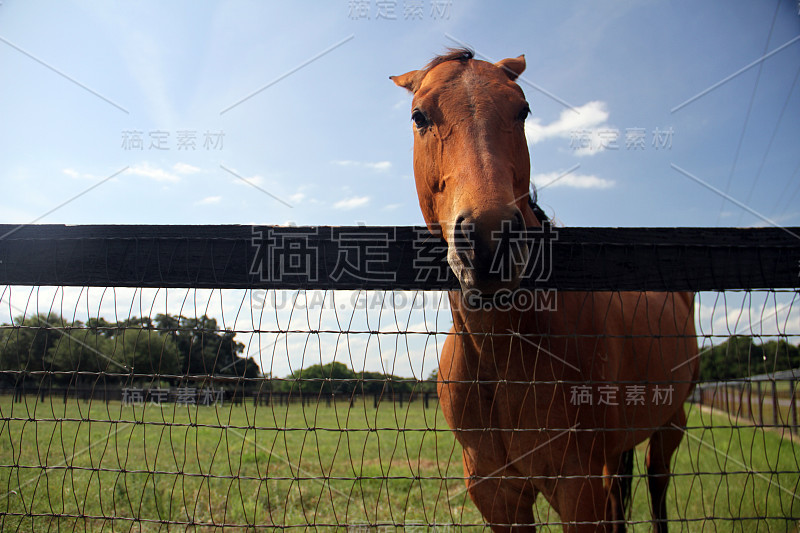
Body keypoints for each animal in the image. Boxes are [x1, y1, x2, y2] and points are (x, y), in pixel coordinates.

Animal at [390, 48, 696, 528]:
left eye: (523, 110)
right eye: (419, 116)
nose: (491, 239)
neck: (507, 352)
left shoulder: (577, 487)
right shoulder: (496, 493)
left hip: (671, 424)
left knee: (657, 485)